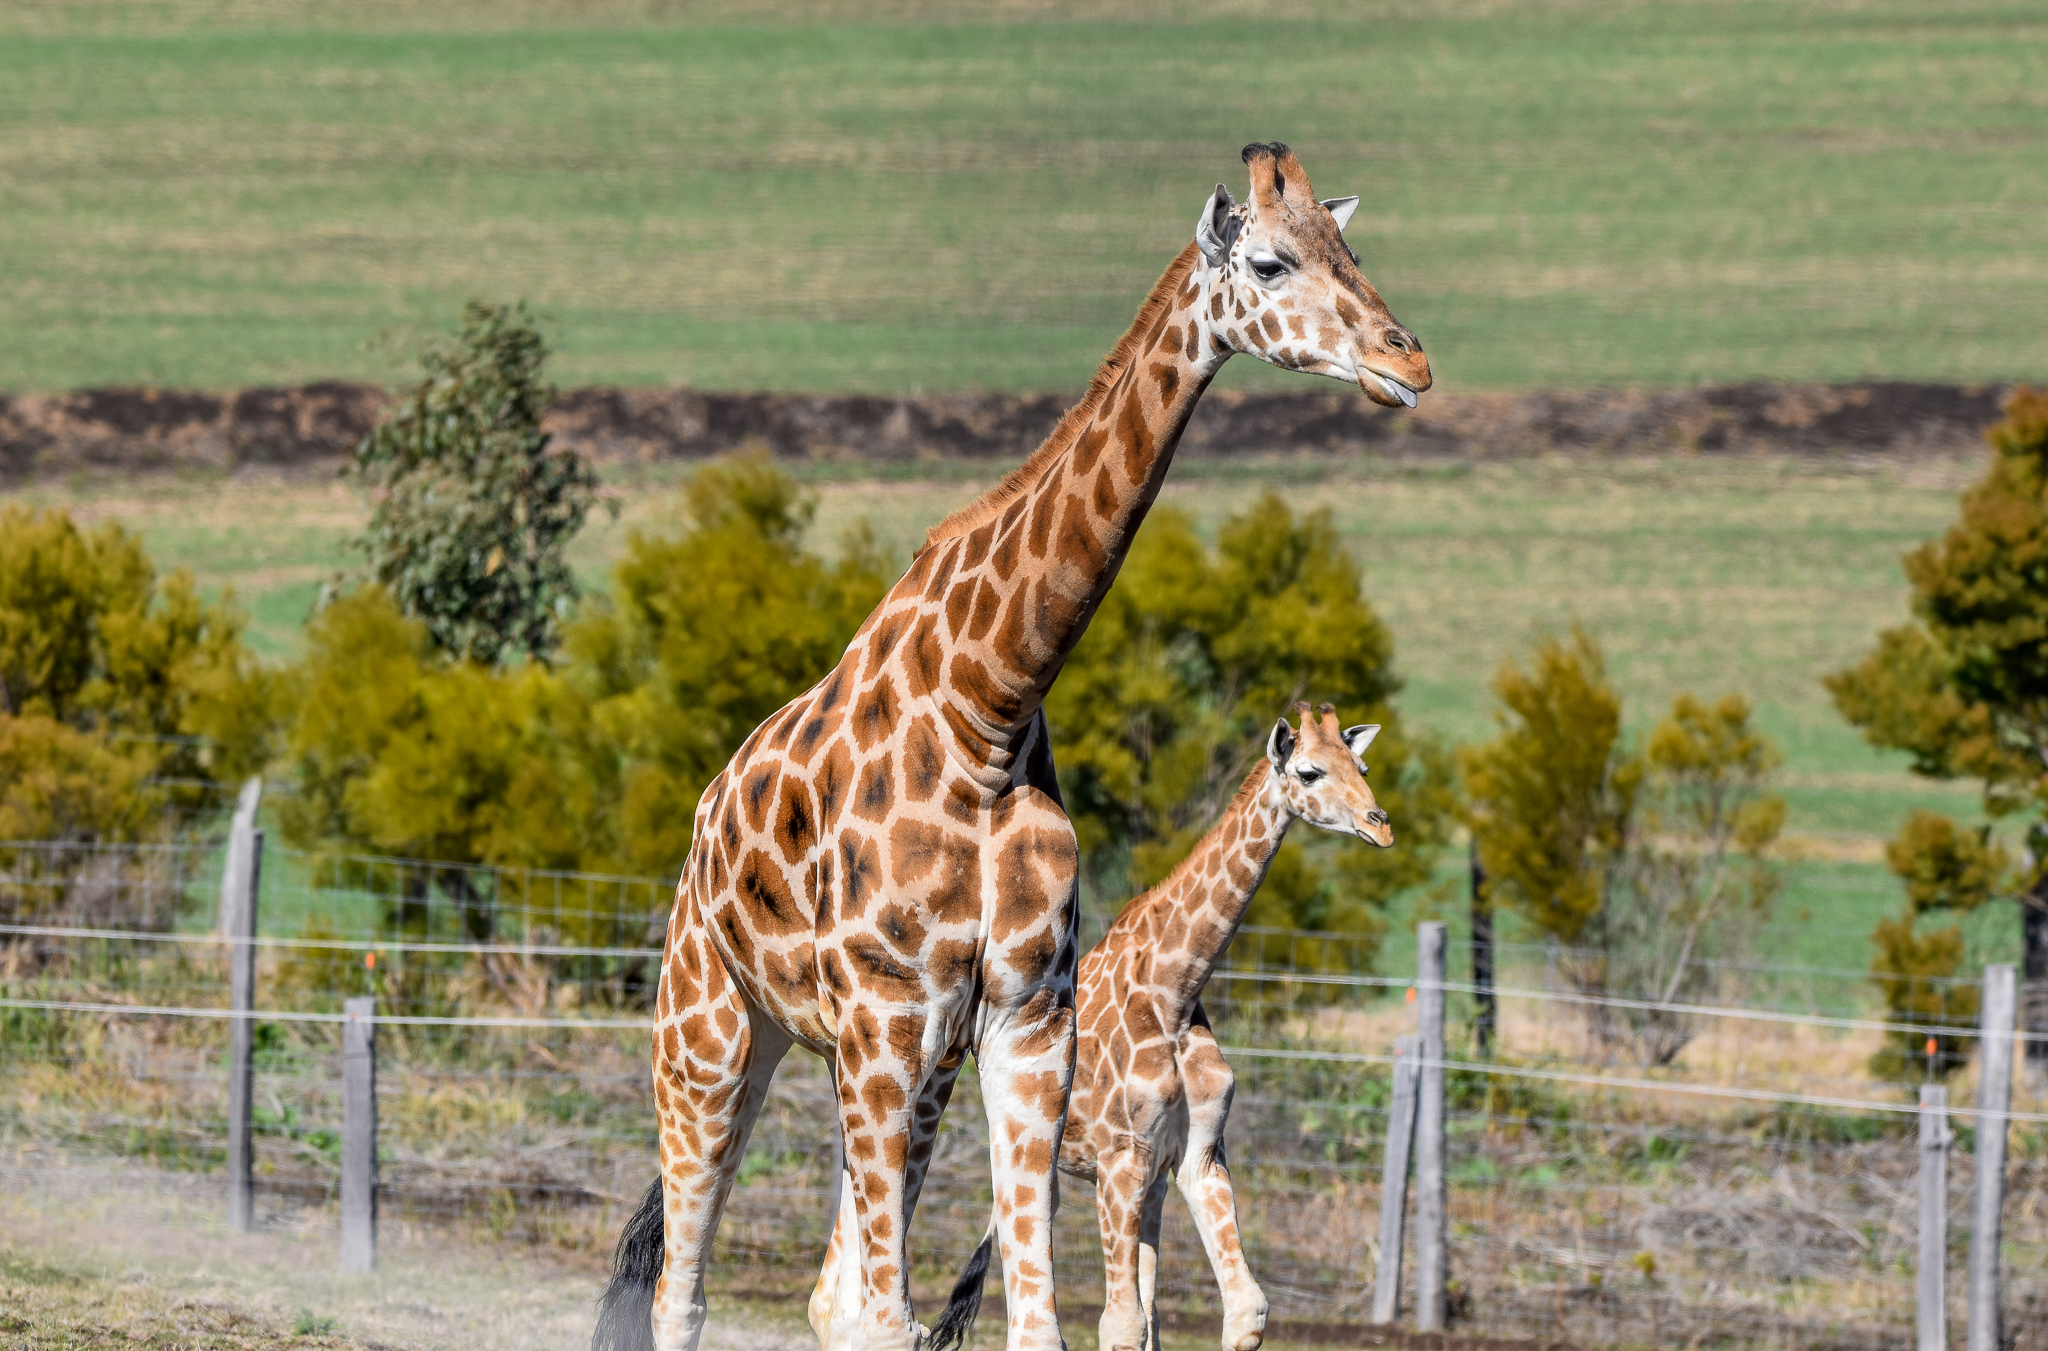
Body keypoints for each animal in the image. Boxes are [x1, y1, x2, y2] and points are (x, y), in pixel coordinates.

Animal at [828, 704, 1392, 1351]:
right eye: (1308, 772)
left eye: (1362, 768)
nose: (1381, 827)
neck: (1177, 991)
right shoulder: (1122, 1158)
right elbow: (1121, 1322)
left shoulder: (1196, 1156)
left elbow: (1239, 1308)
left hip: (1136, 1183)